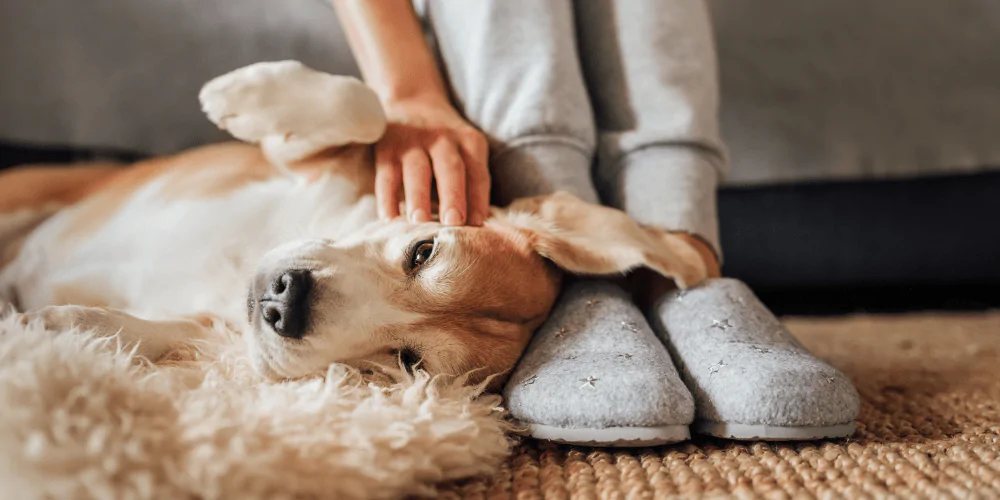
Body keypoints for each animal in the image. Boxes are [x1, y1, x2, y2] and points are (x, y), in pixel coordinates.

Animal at [0, 60, 712, 384]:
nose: (285, 302)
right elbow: (365, 108)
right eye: (423, 250)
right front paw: (244, 96)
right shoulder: (310, 163)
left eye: (408, 360)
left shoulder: (216, 329)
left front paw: (65, 328)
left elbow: (167, 332)